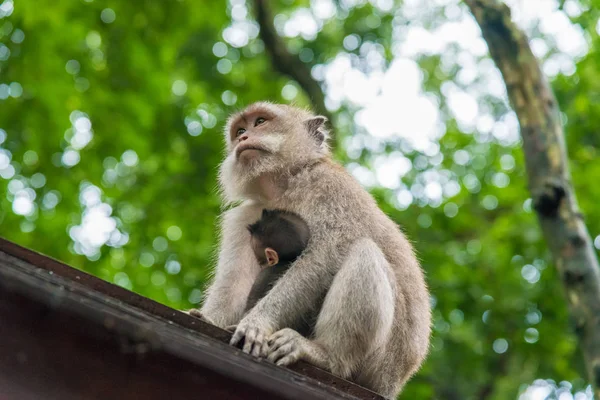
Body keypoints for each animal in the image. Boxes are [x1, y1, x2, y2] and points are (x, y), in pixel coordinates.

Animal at [190, 102, 428, 396]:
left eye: (260, 122)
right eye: (240, 130)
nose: (244, 137)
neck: (286, 184)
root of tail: (394, 383)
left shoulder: (330, 188)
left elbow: (324, 256)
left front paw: (257, 323)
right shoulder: (245, 216)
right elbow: (234, 282)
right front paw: (209, 319)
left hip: (382, 361)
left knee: (363, 252)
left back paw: (326, 355)